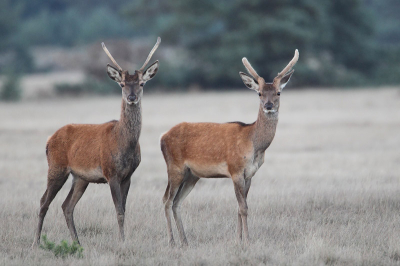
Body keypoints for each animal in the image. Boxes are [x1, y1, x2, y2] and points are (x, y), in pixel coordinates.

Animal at [32, 37, 161, 247]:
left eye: (141, 83)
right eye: (122, 84)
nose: (132, 97)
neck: (124, 143)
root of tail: (49, 141)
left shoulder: (128, 176)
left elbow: (124, 210)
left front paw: (123, 239)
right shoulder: (111, 172)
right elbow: (119, 211)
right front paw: (121, 241)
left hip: (80, 177)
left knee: (66, 205)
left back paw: (77, 242)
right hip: (56, 167)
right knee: (44, 202)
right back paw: (36, 242)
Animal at [161, 49, 298, 245]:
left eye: (278, 93)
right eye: (259, 93)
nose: (268, 106)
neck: (253, 145)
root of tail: (162, 137)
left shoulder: (249, 174)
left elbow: (240, 207)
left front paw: (238, 239)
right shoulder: (235, 170)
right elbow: (243, 208)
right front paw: (247, 240)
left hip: (191, 175)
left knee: (176, 202)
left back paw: (185, 241)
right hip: (175, 168)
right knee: (166, 200)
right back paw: (172, 241)